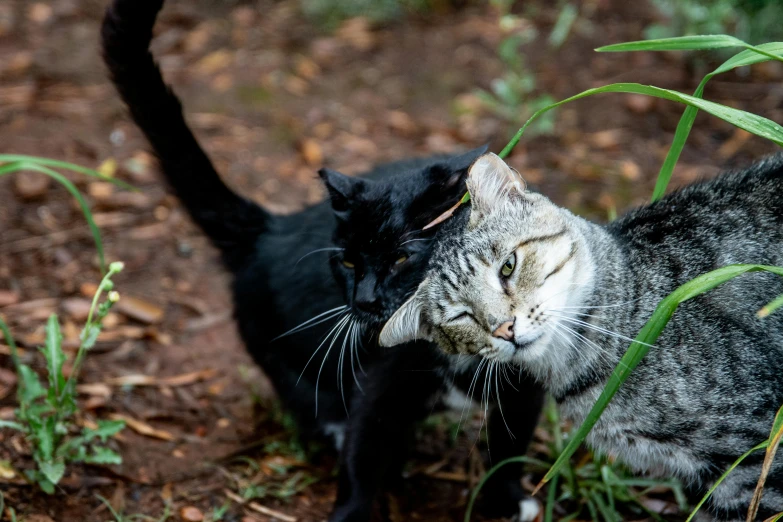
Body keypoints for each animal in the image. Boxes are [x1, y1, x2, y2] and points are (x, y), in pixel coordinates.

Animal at [101, 1, 544, 520]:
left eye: (401, 258)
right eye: (348, 263)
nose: (365, 301)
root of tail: (270, 230)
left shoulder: (530, 378)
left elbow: (510, 446)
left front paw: (509, 498)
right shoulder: (380, 382)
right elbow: (361, 454)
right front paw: (351, 510)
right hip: (281, 354)